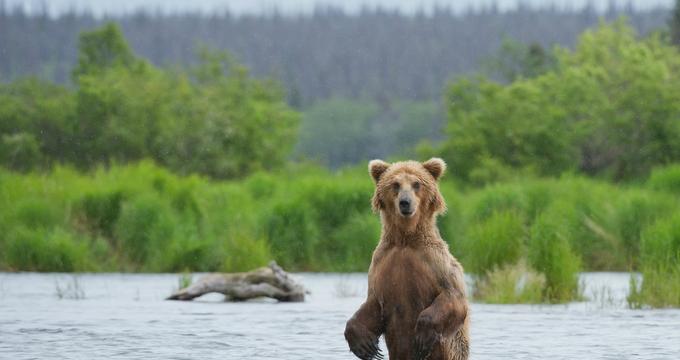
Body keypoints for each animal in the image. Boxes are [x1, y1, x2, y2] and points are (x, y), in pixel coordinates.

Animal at [346, 158, 468, 360]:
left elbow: (453, 297)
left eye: (416, 184)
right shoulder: (381, 264)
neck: (405, 239)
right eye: (395, 184)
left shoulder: (436, 263)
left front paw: (422, 337)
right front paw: (365, 346)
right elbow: (372, 304)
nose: (405, 202)